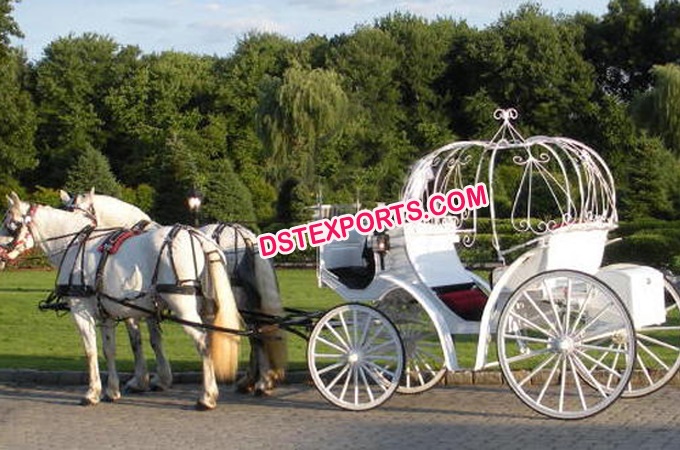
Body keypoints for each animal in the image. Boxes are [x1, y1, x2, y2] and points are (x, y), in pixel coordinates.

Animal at [0, 192, 242, 410]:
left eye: (10, 225)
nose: (0, 255)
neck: (75, 242)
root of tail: (197, 237)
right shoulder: (108, 313)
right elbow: (110, 349)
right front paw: (112, 390)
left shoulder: (82, 311)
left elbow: (92, 351)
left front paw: (92, 392)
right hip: (207, 307)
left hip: (183, 307)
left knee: (203, 343)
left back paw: (207, 396)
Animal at [59, 188, 288, 396]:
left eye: (81, 214)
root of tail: (244, 234)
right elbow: (149, 340)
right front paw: (155, 378)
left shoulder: (132, 305)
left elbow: (143, 341)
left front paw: (146, 379)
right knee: (258, 331)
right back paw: (256, 380)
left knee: (255, 334)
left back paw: (259, 381)